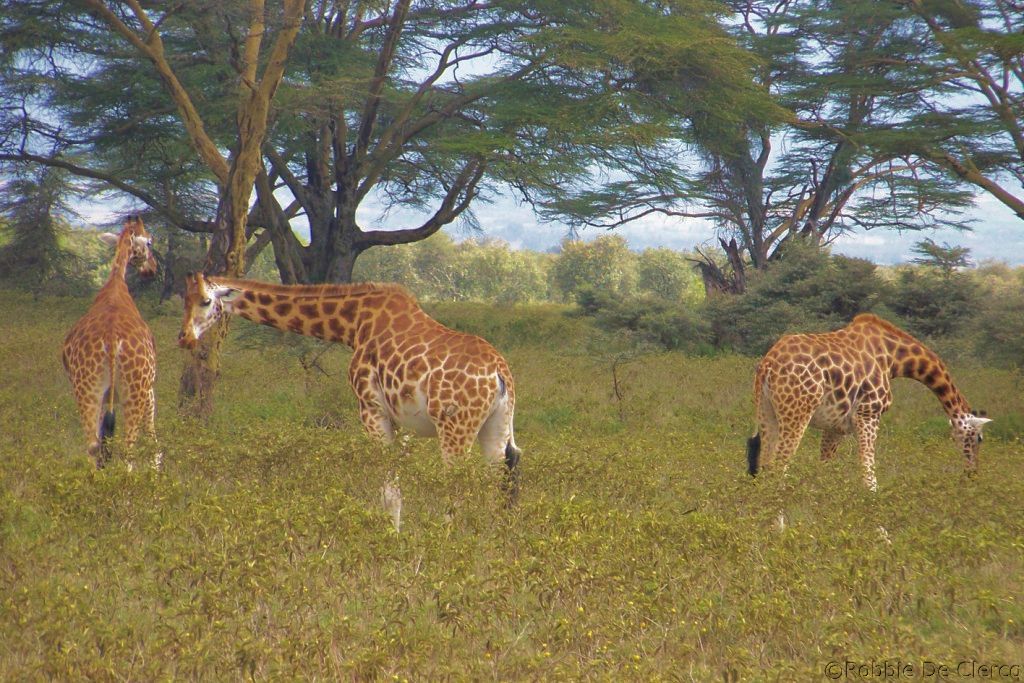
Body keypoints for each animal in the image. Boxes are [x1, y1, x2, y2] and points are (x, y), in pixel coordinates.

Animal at [62, 215, 159, 468]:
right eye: (150, 242)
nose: (152, 269)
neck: (116, 281)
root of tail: (112, 340)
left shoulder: (105, 396)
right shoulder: (150, 389)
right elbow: (153, 444)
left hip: (87, 391)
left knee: (93, 447)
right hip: (135, 392)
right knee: (127, 450)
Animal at [177, 273, 522, 483]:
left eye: (205, 301)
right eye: (184, 299)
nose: (184, 338)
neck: (354, 323)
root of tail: (499, 373)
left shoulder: (371, 408)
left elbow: (386, 481)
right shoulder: (401, 419)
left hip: (455, 428)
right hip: (496, 426)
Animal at [747, 313, 990, 491]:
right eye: (978, 438)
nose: (973, 474)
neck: (893, 359)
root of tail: (768, 364)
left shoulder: (835, 427)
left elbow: (824, 470)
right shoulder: (868, 415)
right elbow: (869, 479)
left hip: (766, 412)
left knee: (764, 466)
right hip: (797, 413)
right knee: (778, 469)